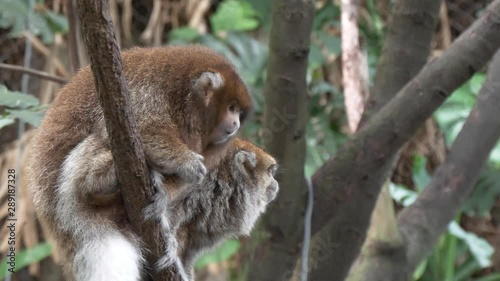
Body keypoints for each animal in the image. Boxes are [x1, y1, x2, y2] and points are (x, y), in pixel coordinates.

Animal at [26, 45, 254, 280]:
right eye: (231, 108)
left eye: (239, 112)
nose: (236, 124)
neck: (184, 99)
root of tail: (53, 215)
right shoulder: (148, 90)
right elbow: (134, 127)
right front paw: (185, 162)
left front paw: (163, 197)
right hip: (66, 195)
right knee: (100, 141)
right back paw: (102, 181)